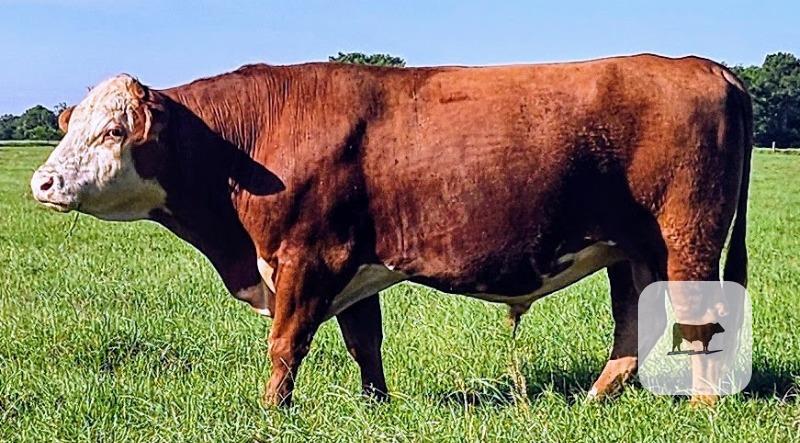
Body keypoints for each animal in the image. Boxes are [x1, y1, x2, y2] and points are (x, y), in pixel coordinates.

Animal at [30, 54, 752, 407]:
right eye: (71, 125)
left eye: (114, 130)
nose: (42, 183)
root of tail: (697, 62)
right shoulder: (352, 262)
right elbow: (364, 342)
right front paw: (375, 406)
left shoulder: (308, 256)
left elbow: (285, 345)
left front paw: (269, 412)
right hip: (630, 246)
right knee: (634, 325)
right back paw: (595, 402)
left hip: (686, 237)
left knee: (699, 322)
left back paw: (702, 410)